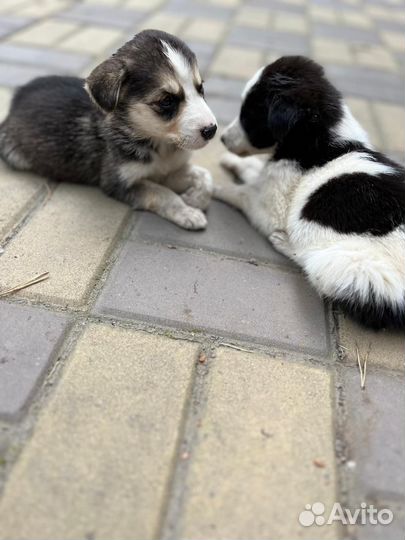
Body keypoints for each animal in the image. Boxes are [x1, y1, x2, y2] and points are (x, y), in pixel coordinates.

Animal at [0, 30, 218, 230]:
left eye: (201, 89)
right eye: (166, 101)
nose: (212, 130)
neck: (159, 145)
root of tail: (16, 99)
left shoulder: (169, 171)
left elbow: (205, 175)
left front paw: (197, 199)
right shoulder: (117, 182)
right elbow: (161, 192)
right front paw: (187, 212)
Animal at [215, 57, 404, 332]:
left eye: (249, 116)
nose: (221, 138)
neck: (319, 142)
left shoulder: (271, 208)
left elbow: (241, 192)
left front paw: (208, 186)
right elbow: (254, 172)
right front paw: (232, 164)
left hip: (350, 270)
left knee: (310, 264)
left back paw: (283, 242)